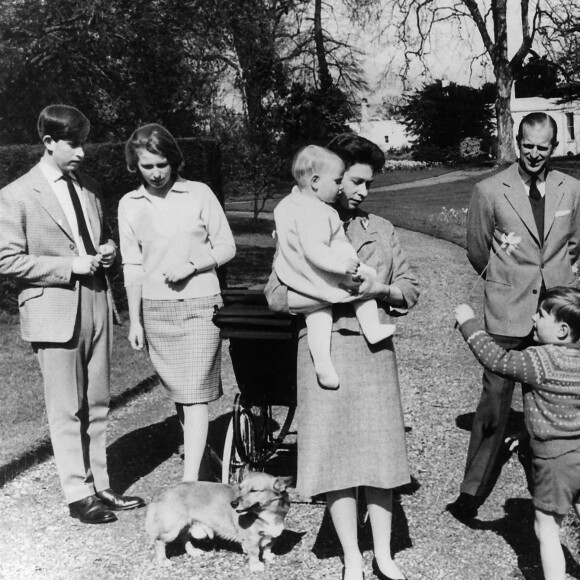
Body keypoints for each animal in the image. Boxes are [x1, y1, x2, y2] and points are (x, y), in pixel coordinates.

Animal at [143, 472, 292, 572]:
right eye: (240, 488)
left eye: (254, 490)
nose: (233, 504)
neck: (266, 513)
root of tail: (161, 491)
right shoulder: (252, 539)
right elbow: (255, 552)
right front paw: (256, 565)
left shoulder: (270, 535)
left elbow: (268, 546)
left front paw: (268, 556)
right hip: (172, 529)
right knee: (160, 542)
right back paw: (163, 561)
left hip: (184, 524)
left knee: (184, 537)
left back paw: (193, 551)